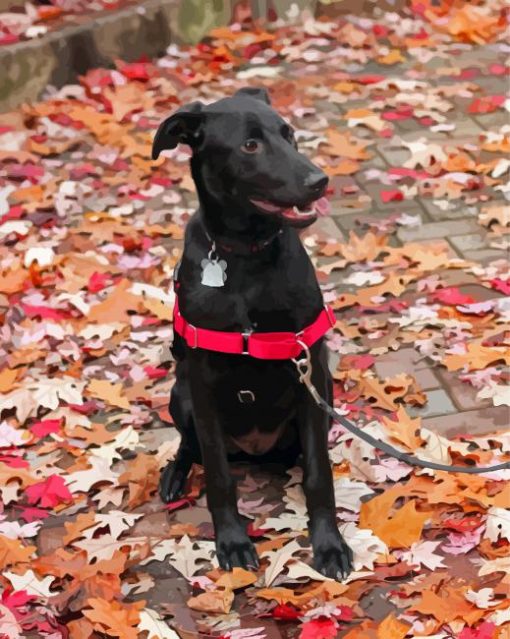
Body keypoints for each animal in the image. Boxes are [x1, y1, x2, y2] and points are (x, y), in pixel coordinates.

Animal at [153, 86, 354, 580]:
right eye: (249, 145)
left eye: (289, 134)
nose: (319, 181)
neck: (244, 257)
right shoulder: (202, 385)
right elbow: (218, 476)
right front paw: (232, 541)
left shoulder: (310, 373)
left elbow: (319, 473)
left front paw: (329, 545)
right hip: (179, 394)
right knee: (190, 447)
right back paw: (174, 475)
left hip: (325, 395)